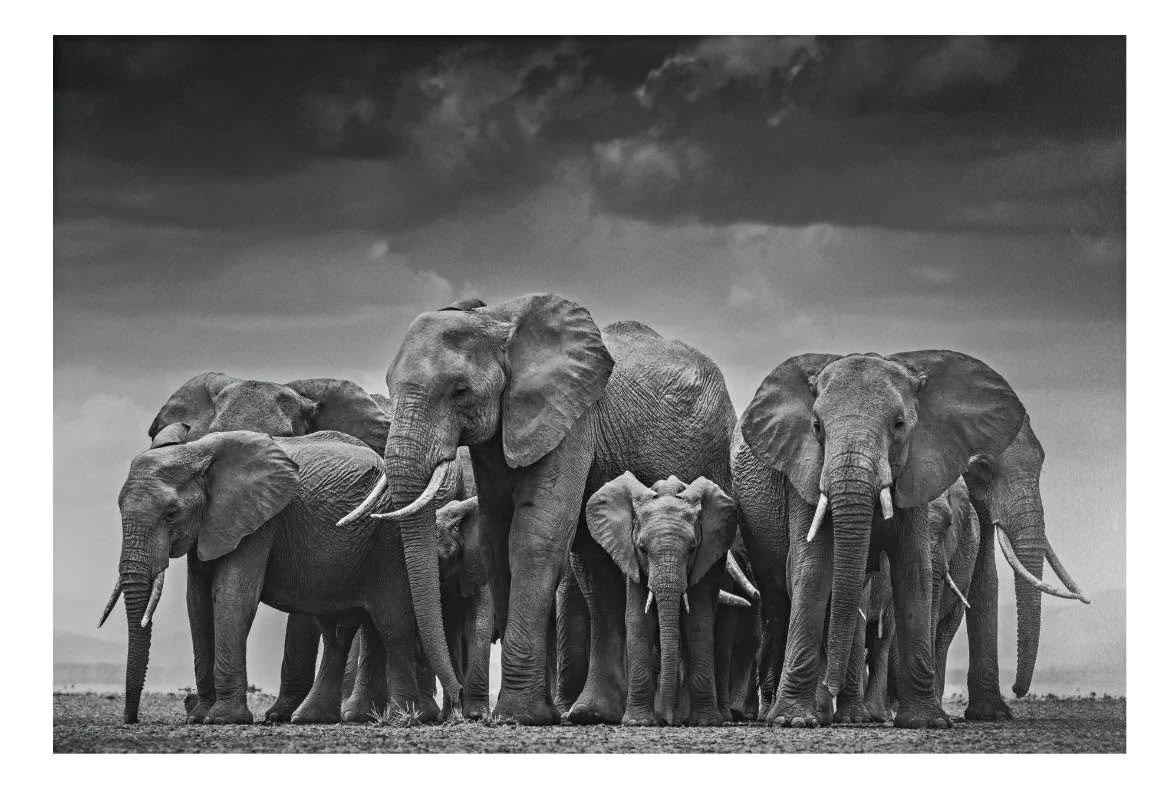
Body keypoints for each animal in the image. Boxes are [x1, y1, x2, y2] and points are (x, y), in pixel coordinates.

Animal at [100, 429, 438, 724]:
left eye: (171, 514)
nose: (132, 719)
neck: (197, 451)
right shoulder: (209, 526)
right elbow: (197, 604)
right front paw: (198, 718)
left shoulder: (258, 522)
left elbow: (233, 598)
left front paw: (223, 720)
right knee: (342, 631)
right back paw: (321, 717)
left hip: (387, 539)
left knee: (391, 625)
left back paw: (400, 717)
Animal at [586, 472, 740, 725]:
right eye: (642, 549)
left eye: (692, 549)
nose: (667, 720)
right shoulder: (632, 559)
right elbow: (638, 621)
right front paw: (637, 722)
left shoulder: (707, 557)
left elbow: (698, 623)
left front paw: (706, 722)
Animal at [734, 350, 1027, 728]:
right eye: (817, 427)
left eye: (899, 425)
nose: (829, 688)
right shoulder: (803, 473)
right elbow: (811, 569)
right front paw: (793, 721)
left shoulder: (918, 471)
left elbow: (914, 572)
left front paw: (926, 722)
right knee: (778, 601)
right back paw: (780, 713)